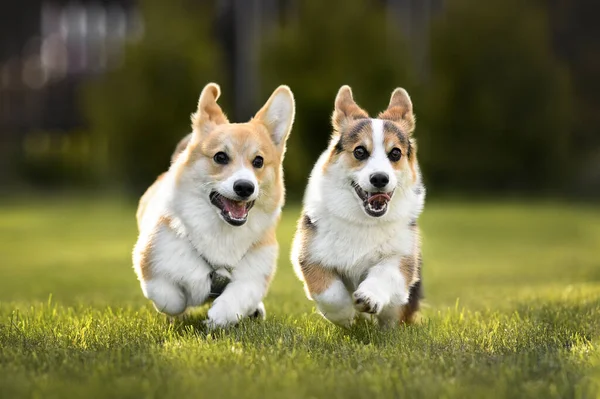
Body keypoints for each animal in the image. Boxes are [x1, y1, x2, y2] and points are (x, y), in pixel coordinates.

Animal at [135, 83, 296, 330]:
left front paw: (220, 317)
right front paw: (183, 306)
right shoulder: (151, 260)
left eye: (258, 161)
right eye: (220, 157)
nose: (244, 187)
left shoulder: (255, 274)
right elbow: (170, 298)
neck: (222, 231)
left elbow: (240, 295)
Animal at [292, 86, 424, 330]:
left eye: (395, 153)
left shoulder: (401, 258)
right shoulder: (310, 256)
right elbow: (330, 293)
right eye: (360, 151)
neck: (363, 220)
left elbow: (384, 274)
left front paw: (368, 298)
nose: (380, 178)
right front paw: (347, 315)